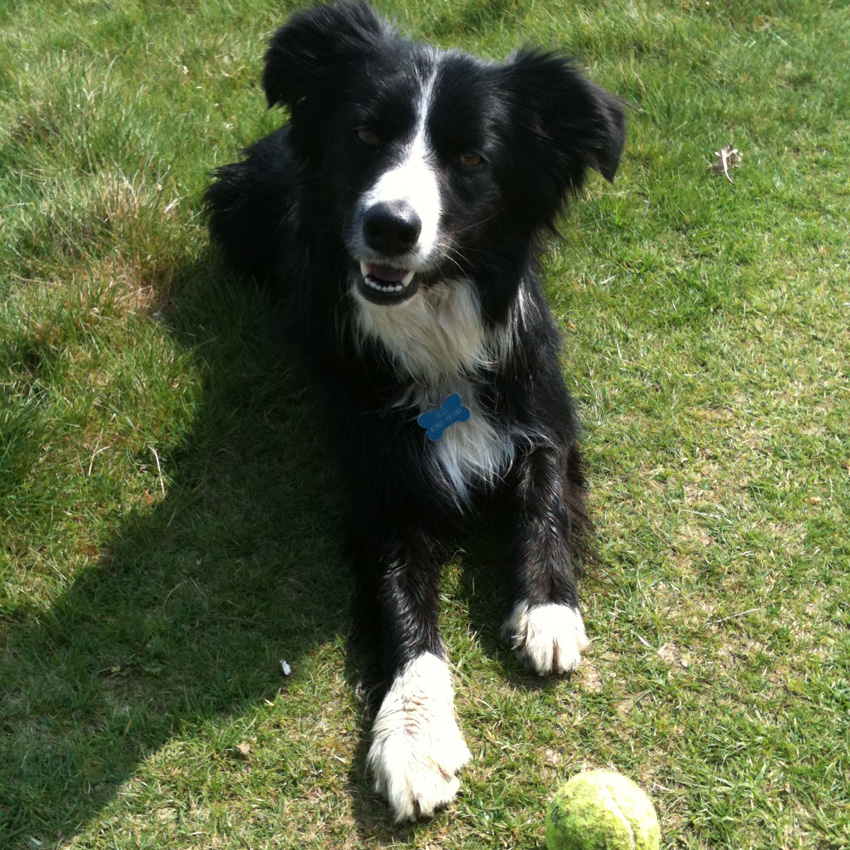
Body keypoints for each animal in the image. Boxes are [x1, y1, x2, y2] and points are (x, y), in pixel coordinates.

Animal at [205, 0, 624, 820]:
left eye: (472, 159)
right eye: (366, 136)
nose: (390, 226)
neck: (435, 329)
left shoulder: (545, 412)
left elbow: (544, 495)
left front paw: (549, 609)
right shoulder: (382, 487)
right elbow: (402, 604)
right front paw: (413, 737)